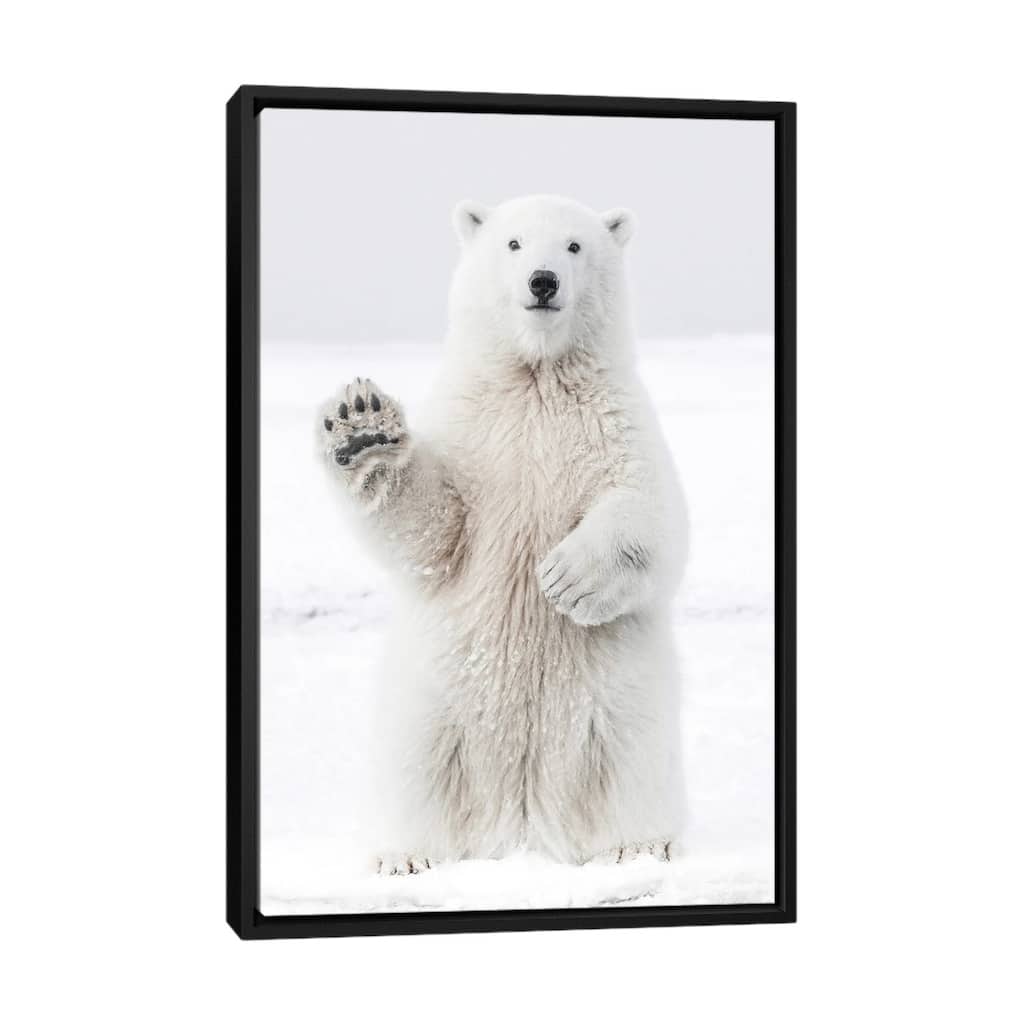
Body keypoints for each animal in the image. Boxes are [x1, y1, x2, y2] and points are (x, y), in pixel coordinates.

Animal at [317, 194, 688, 874]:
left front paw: (565, 578)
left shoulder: (615, 421)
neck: (536, 377)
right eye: (513, 244)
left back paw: (637, 846)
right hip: (433, 701)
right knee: (415, 766)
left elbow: (650, 511)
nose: (543, 281)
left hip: (618, 702)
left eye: (574, 246)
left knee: (632, 762)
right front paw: (363, 428)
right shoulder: (473, 431)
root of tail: (521, 820)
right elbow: (436, 530)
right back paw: (406, 856)